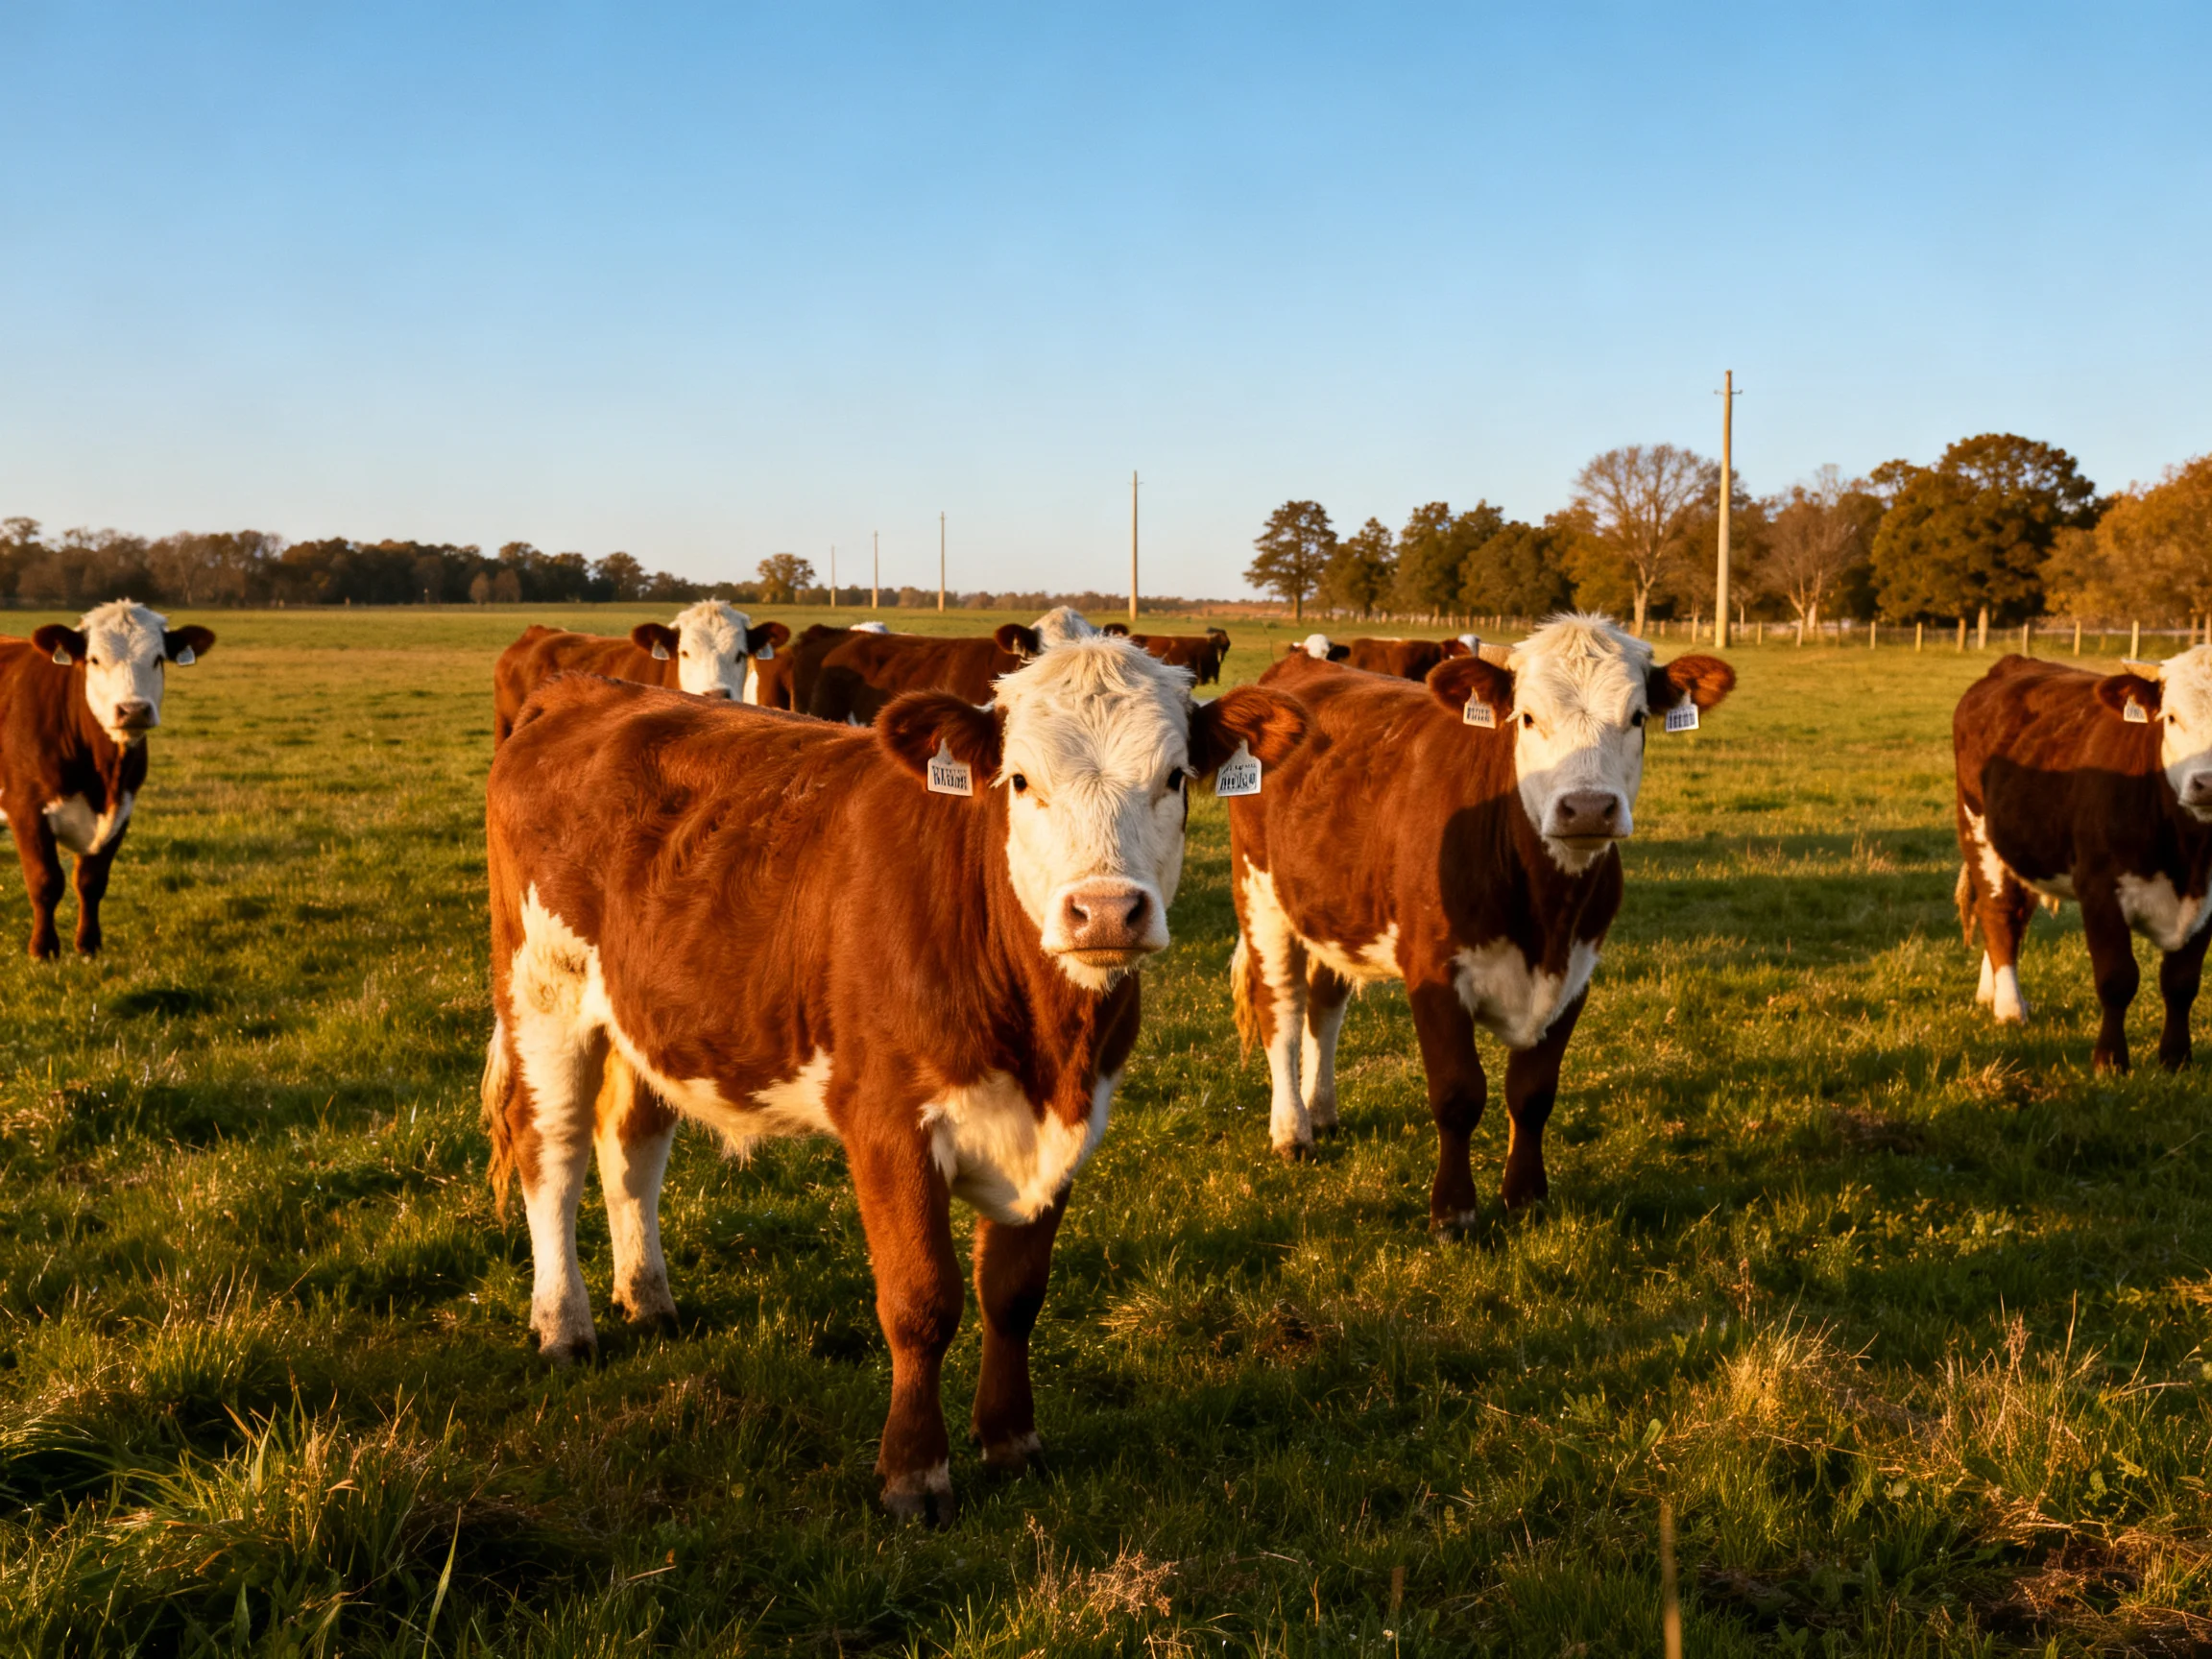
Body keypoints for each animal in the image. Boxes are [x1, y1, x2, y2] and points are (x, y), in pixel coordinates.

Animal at [0, 600, 216, 959]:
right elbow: (45, 881)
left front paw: (88, 944)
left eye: (158, 658)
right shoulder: (26, 807)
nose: (133, 710)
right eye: (95, 659)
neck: (103, 777)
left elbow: (91, 881)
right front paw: (43, 948)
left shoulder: (122, 809)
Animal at [481, 637, 1307, 1519]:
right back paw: (564, 1327)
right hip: (542, 990)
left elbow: (1014, 1292)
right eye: (1021, 780)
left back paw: (649, 1300)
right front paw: (913, 1474)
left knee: (631, 1146)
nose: (1106, 910)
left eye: (1175, 777)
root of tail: (584, 688)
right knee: (552, 1152)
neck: (1047, 1043)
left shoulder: (1069, 1124)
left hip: (645, 1010)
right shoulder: (886, 1122)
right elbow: (921, 1301)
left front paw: (1011, 1441)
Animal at [1228, 614, 1733, 1226]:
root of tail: (1300, 664)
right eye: (1528, 717)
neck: (1546, 914)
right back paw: (1292, 1131)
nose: (1588, 808)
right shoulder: (1433, 973)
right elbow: (1457, 1093)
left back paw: (1321, 1111)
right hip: (1260, 896)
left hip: (1330, 903)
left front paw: (1526, 1198)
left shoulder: (1576, 975)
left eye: (1637, 717)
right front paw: (1453, 1213)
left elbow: (1533, 1093)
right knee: (1280, 1007)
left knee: (1325, 1005)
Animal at [1954, 649, 2212, 1072]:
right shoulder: (2100, 890)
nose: (2206, 784)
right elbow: (2117, 978)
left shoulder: (2206, 901)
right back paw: (2009, 1006)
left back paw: (1993, 992)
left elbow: (2181, 982)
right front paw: (2110, 1060)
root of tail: (2013, 662)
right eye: (2171, 717)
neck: (2187, 856)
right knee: (1999, 912)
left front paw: (2176, 1059)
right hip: (1979, 831)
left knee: (2017, 915)